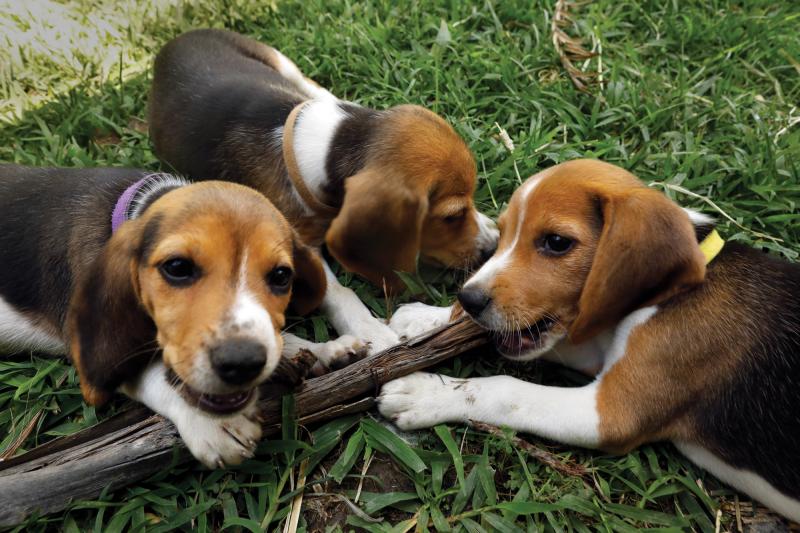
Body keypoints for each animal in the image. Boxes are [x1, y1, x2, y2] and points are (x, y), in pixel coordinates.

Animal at [0, 165, 328, 466]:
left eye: (282, 276)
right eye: (177, 267)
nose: (242, 362)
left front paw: (318, 348)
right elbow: (151, 372)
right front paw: (210, 424)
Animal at [149, 27, 496, 356]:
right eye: (452, 216)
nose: (492, 247)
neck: (330, 143)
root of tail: (176, 39)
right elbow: (338, 291)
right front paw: (371, 330)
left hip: (284, 64)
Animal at [380, 160, 800, 520]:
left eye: (556, 242)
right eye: (503, 234)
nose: (469, 299)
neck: (675, 290)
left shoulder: (611, 413)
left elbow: (508, 389)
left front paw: (427, 392)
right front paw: (426, 318)